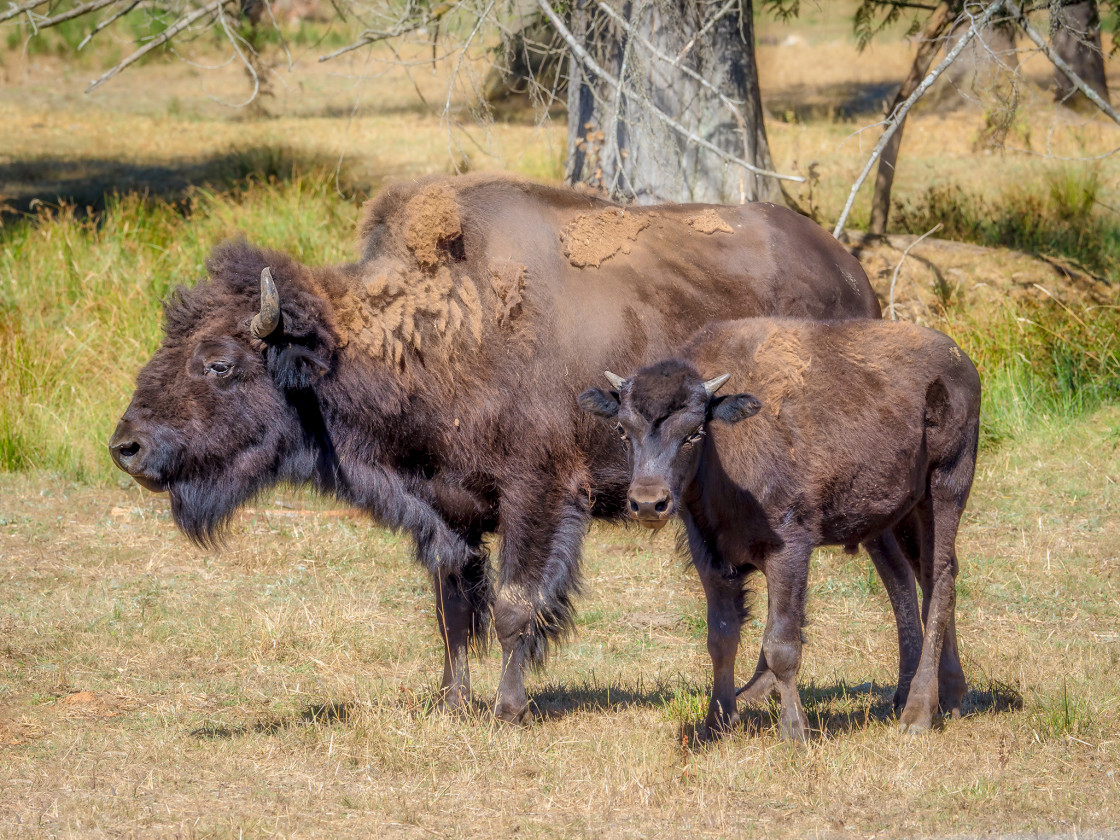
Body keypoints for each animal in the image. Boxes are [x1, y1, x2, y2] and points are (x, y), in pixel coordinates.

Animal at [113, 172, 882, 725]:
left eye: (219, 363)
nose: (128, 447)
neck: (438, 329)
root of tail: (853, 275)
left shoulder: (538, 496)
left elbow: (517, 604)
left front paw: (508, 710)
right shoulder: (447, 513)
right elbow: (454, 611)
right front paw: (453, 704)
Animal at [577, 318, 981, 739]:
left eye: (694, 432)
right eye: (623, 430)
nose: (647, 502)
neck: (722, 450)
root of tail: (962, 362)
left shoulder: (789, 550)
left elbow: (781, 644)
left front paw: (795, 732)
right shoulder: (712, 559)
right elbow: (721, 638)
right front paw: (717, 724)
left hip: (946, 487)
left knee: (940, 581)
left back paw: (917, 713)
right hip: (895, 514)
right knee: (909, 578)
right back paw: (940, 698)